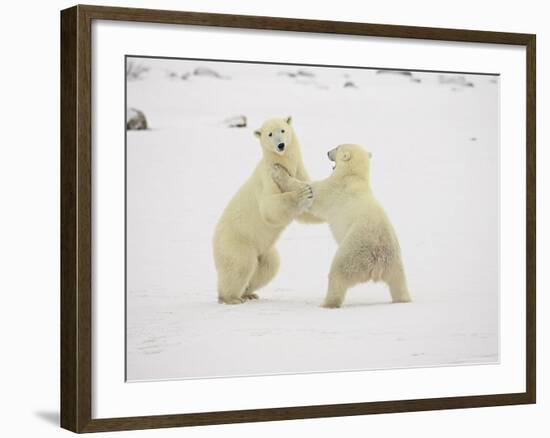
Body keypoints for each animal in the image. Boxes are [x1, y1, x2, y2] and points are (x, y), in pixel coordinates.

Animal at [213, 115, 322, 304]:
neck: (281, 162)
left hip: (263, 249)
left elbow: (307, 213)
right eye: (270, 134)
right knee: (241, 264)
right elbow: (269, 207)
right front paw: (302, 193)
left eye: (283, 130)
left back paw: (248, 293)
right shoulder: (267, 176)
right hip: (237, 240)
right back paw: (231, 298)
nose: (281, 145)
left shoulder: (299, 171)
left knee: (269, 265)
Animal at [274, 144, 412, 308]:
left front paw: (278, 170)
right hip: (395, 263)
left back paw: (327, 303)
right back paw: (403, 299)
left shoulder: (332, 189)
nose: (327, 152)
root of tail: (378, 261)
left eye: (337, 147)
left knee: (338, 273)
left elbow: (311, 192)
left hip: (353, 252)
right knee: (398, 282)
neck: (353, 177)